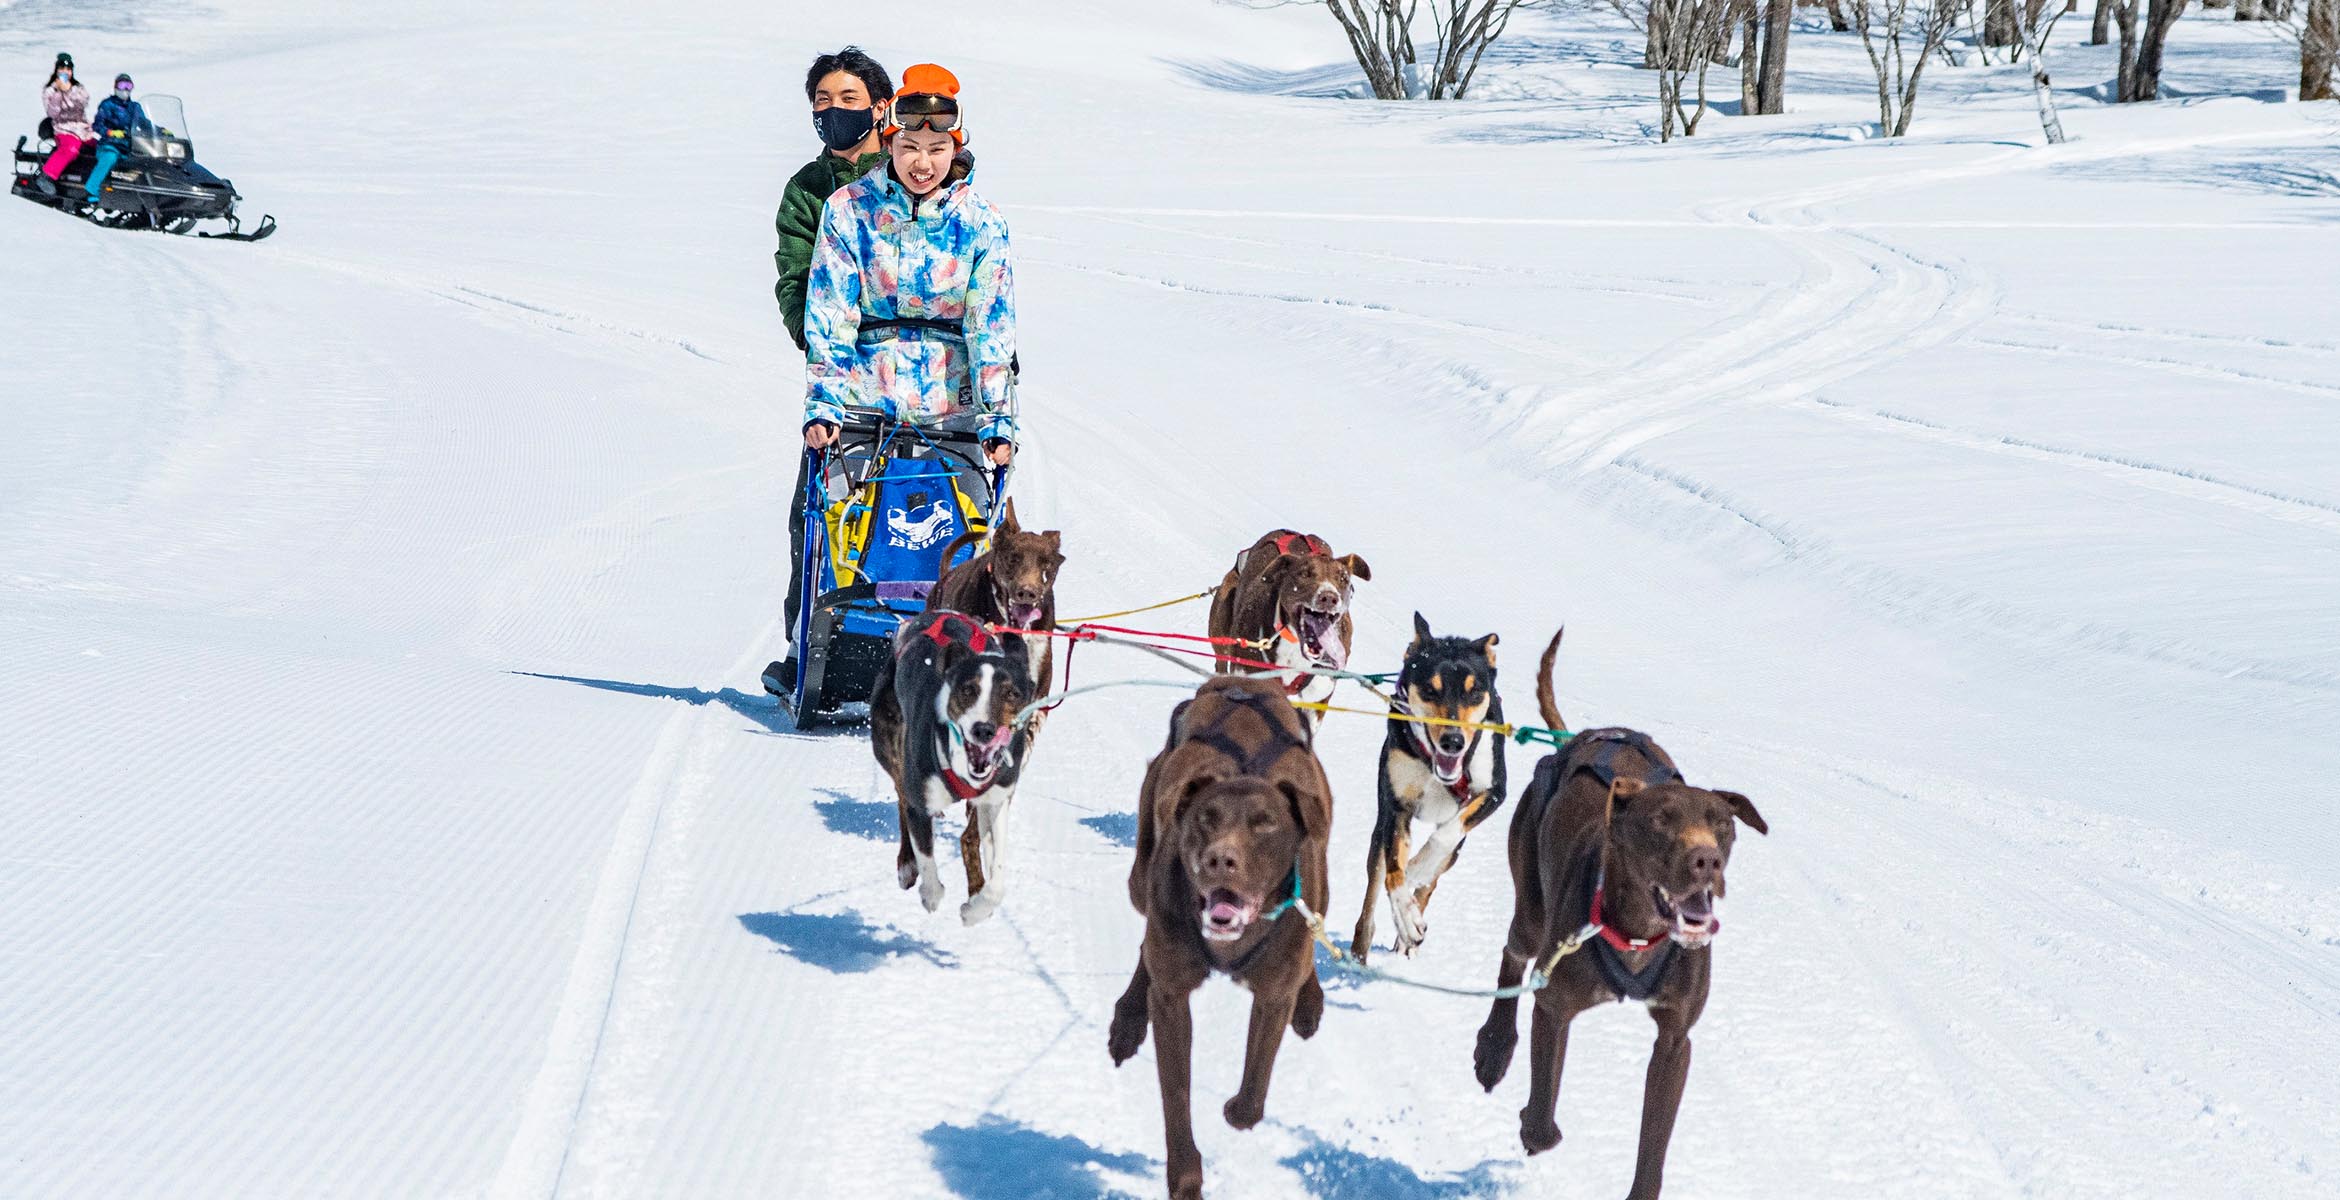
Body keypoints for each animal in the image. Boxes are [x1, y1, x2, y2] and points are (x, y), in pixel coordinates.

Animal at [875, 608, 1029, 926]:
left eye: (1011, 693)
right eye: (968, 690)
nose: (984, 730)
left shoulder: (996, 801)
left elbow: (997, 879)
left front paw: (975, 909)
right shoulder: (921, 798)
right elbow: (926, 856)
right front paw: (931, 894)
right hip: (891, 747)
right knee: (901, 799)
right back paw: (906, 865)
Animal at [1104, 678, 1329, 1192]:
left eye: (1265, 822)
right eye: (1207, 818)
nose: (1219, 860)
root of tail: (1245, 683)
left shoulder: (1273, 994)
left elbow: (1251, 1099)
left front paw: (1235, 1109)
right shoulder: (1172, 997)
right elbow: (1176, 1093)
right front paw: (1185, 1177)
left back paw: (1311, 1002)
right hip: (1140, 880)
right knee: (1145, 946)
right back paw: (1128, 1018)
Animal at [1357, 612, 1516, 959]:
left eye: (1475, 691)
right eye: (1430, 690)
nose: (1454, 742)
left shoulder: (1492, 792)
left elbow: (1441, 839)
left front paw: (1417, 870)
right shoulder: (1397, 808)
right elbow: (1394, 873)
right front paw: (1406, 916)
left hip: (1456, 850)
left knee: (1432, 879)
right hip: (1378, 833)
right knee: (1372, 899)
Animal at [1469, 631, 1759, 1192]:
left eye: (1723, 824)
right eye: (1662, 820)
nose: (1707, 859)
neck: (1640, 935)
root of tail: (1580, 738)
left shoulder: (1675, 1040)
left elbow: (1653, 1146)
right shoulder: (1554, 1007)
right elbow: (1541, 1123)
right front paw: (1533, 1120)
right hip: (1531, 908)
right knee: (1513, 953)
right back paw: (1494, 1046)